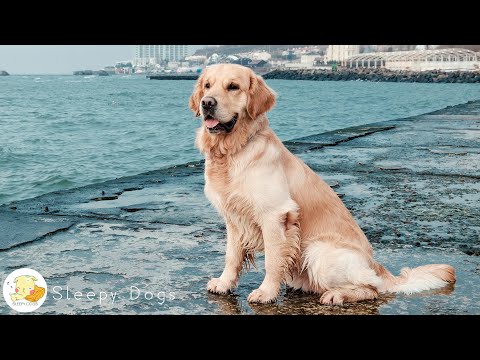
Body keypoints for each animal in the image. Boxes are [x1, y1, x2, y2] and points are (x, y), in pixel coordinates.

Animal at [189, 62, 456, 304]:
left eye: (233, 87)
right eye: (207, 86)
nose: (207, 103)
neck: (232, 152)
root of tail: (376, 265)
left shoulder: (275, 215)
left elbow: (273, 261)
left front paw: (266, 293)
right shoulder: (233, 218)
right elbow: (232, 257)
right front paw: (224, 283)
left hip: (318, 251)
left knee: (372, 288)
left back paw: (337, 295)